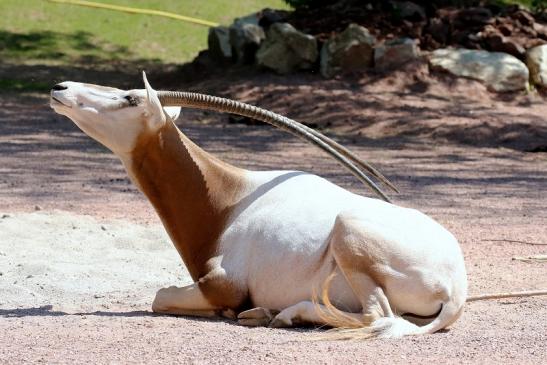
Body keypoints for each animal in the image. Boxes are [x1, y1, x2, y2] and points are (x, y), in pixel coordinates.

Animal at [52, 72, 470, 336]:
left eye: (130, 97)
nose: (60, 86)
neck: (228, 200)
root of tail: (455, 287)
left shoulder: (223, 284)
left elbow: (160, 296)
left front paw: (232, 311)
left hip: (348, 231)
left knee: (376, 315)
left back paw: (286, 314)